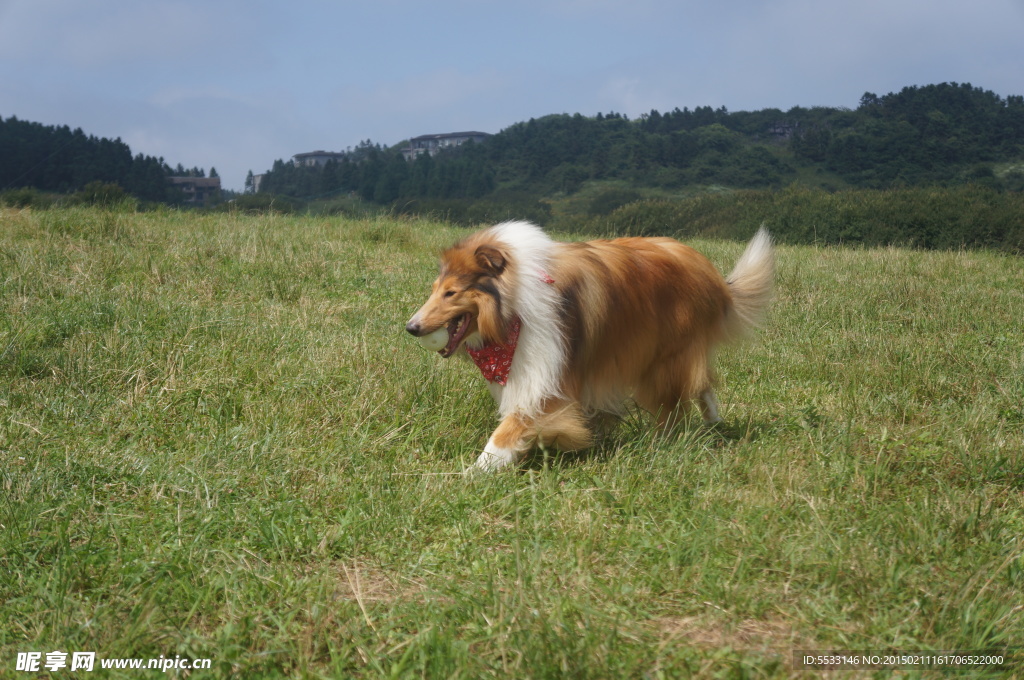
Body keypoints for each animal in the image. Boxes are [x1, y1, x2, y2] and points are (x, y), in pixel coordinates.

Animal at [403, 220, 770, 471]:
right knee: (702, 382)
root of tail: (708, 271)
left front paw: (473, 472)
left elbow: (512, 426)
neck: (514, 307)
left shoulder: (546, 376)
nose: (411, 327)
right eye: (434, 289)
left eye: (451, 292)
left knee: (678, 395)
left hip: (669, 355)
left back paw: (663, 441)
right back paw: (713, 422)